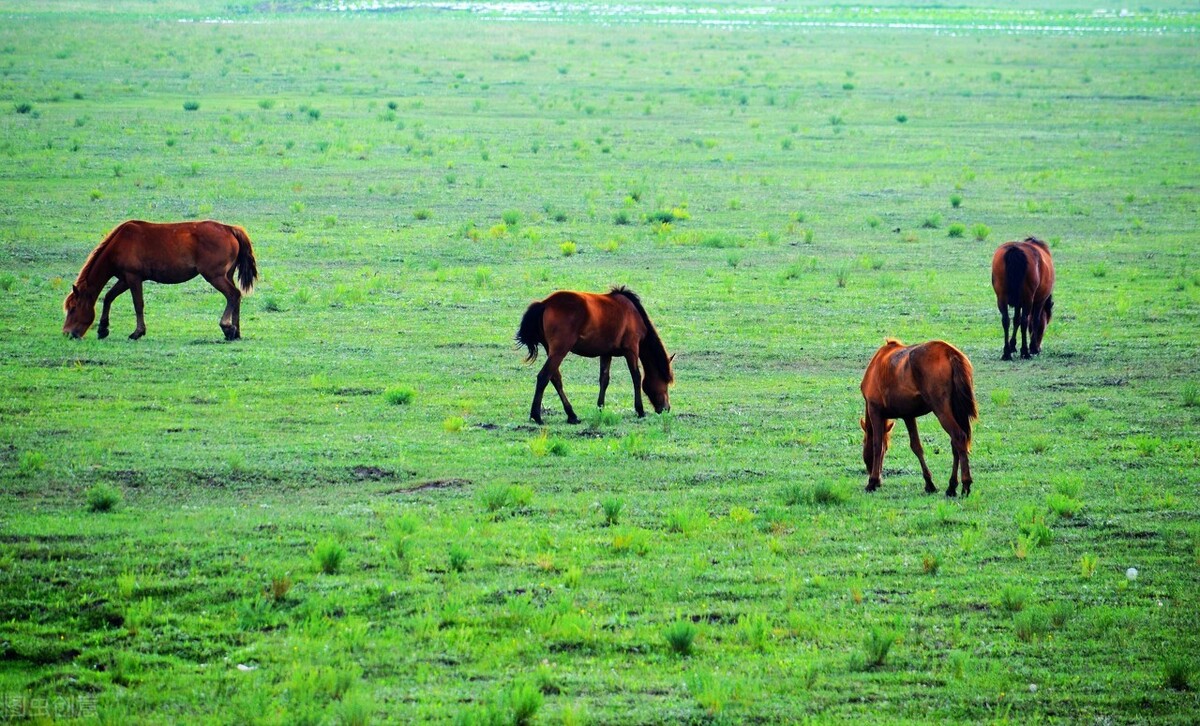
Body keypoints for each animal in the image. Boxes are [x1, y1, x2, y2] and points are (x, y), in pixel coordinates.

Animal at [63, 219, 258, 340]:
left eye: (73, 309)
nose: (67, 333)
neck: (119, 243)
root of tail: (229, 229)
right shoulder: (124, 279)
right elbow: (108, 297)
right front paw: (103, 328)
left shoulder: (133, 278)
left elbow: (138, 304)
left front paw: (137, 332)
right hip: (226, 275)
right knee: (236, 297)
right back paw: (235, 332)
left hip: (215, 276)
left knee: (233, 294)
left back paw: (227, 327)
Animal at [516, 285, 676, 424]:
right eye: (666, 382)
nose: (666, 408)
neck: (634, 314)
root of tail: (545, 304)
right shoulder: (631, 350)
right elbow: (636, 377)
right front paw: (640, 410)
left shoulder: (606, 353)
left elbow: (604, 379)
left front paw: (600, 408)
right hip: (560, 351)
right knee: (544, 377)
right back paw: (537, 416)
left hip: (551, 350)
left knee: (555, 379)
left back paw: (572, 415)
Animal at [864, 340, 974, 499]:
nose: (878, 480)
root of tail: (950, 352)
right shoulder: (908, 416)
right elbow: (916, 447)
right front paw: (929, 484)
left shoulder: (875, 411)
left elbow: (877, 445)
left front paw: (872, 482)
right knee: (956, 445)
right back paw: (951, 486)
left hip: (940, 409)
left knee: (958, 436)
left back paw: (965, 484)